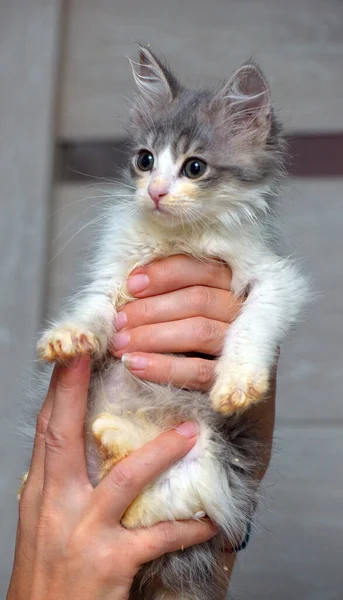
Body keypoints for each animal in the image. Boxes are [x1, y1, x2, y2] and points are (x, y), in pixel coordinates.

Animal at [36, 44, 308, 596]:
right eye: (145, 160)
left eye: (194, 167)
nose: (156, 192)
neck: (179, 237)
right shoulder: (114, 273)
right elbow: (95, 307)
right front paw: (70, 334)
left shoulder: (276, 278)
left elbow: (254, 320)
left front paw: (237, 382)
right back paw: (112, 438)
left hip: (206, 454)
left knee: (173, 505)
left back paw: (119, 441)